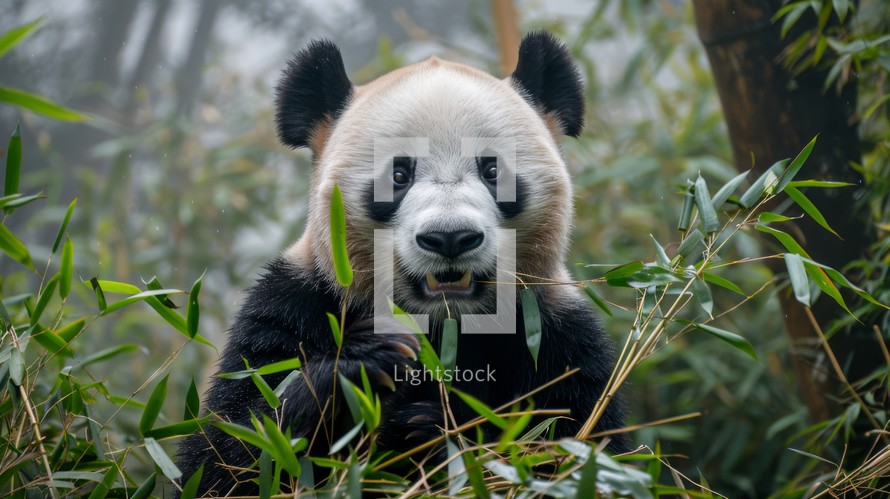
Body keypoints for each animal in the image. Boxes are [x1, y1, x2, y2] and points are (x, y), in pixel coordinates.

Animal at [175, 31, 632, 496]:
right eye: (399, 175)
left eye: (492, 171)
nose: (450, 237)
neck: (445, 324)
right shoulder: (294, 305)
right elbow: (234, 451)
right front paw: (365, 362)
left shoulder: (558, 336)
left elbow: (578, 448)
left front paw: (436, 428)